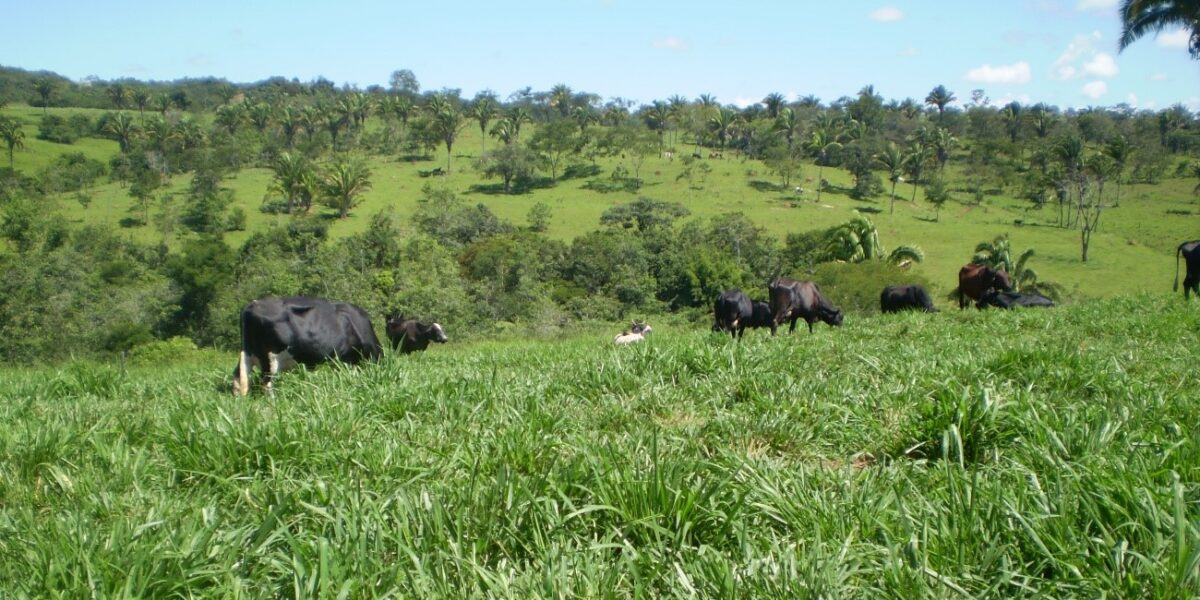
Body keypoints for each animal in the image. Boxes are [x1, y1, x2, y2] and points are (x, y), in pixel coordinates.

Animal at [231, 296, 381, 398]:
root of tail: (251, 305)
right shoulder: (348, 360)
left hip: (247, 355)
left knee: (239, 379)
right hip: (270, 358)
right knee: (266, 383)